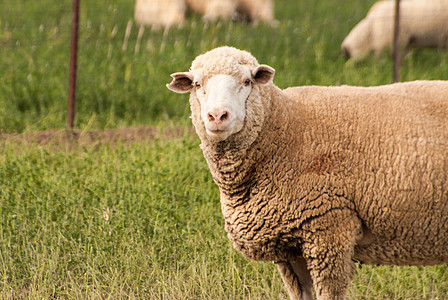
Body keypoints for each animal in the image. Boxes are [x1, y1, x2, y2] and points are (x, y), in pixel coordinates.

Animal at [165, 45, 448, 298]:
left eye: (247, 81)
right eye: (197, 84)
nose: (217, 116)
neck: (285, 129)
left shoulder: (330, 230)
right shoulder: (288, 247)